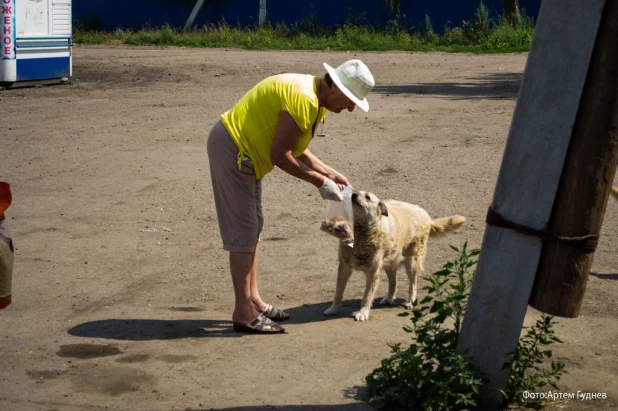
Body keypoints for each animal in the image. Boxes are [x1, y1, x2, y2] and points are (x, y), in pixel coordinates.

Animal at [322, 190, 462, 322]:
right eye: (355, 192)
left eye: (367, 197)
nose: (353, 195)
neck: (361, 233)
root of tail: (426, 216)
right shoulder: (344, 267)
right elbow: (338, 292)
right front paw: (333, 309)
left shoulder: (373, 271)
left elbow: (367, 295)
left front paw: (363, 313)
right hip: (390, 263)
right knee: (394, 281)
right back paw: (389, 298)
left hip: (412, 263)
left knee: (413, 284)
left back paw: (411, 301)